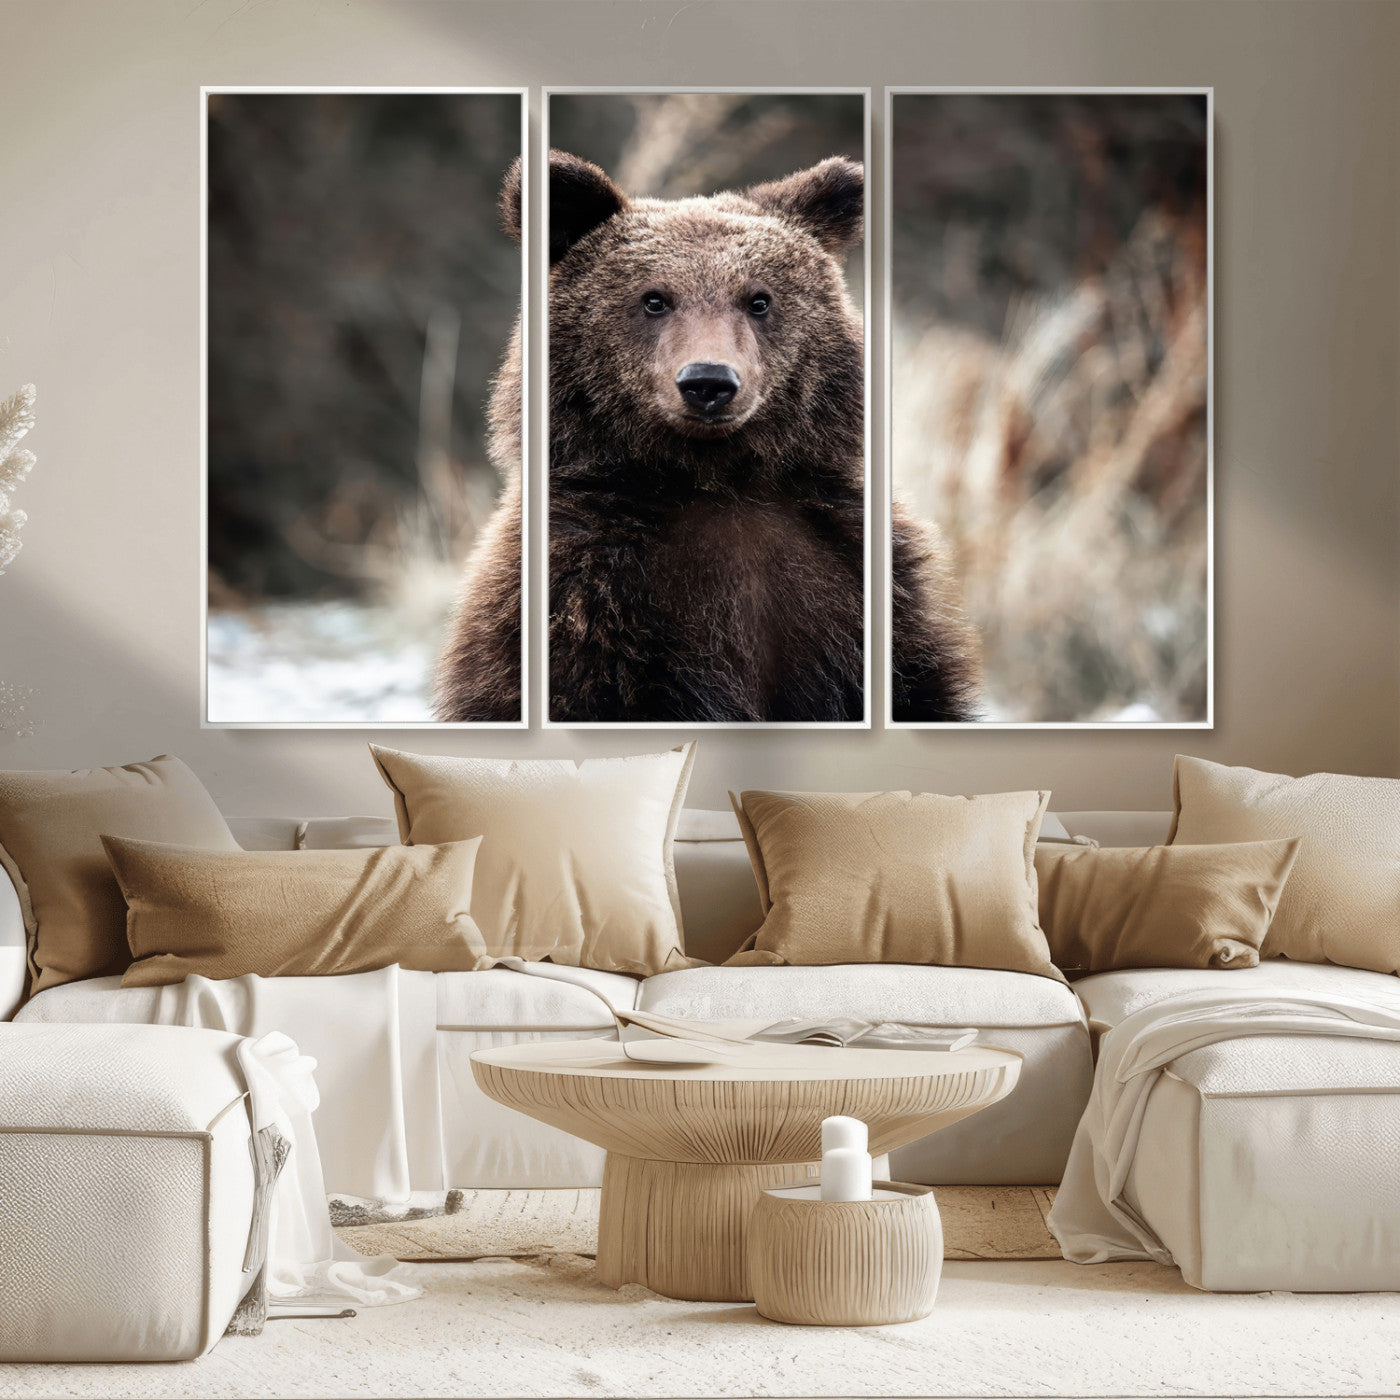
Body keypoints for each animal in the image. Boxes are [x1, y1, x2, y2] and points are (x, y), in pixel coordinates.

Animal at [434, 150, 979, 724]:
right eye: (654, 299)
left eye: (758, 300)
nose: (708, 382)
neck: (715, 478)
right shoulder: (583, 597)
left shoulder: (855, 579)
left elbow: (917, 687)